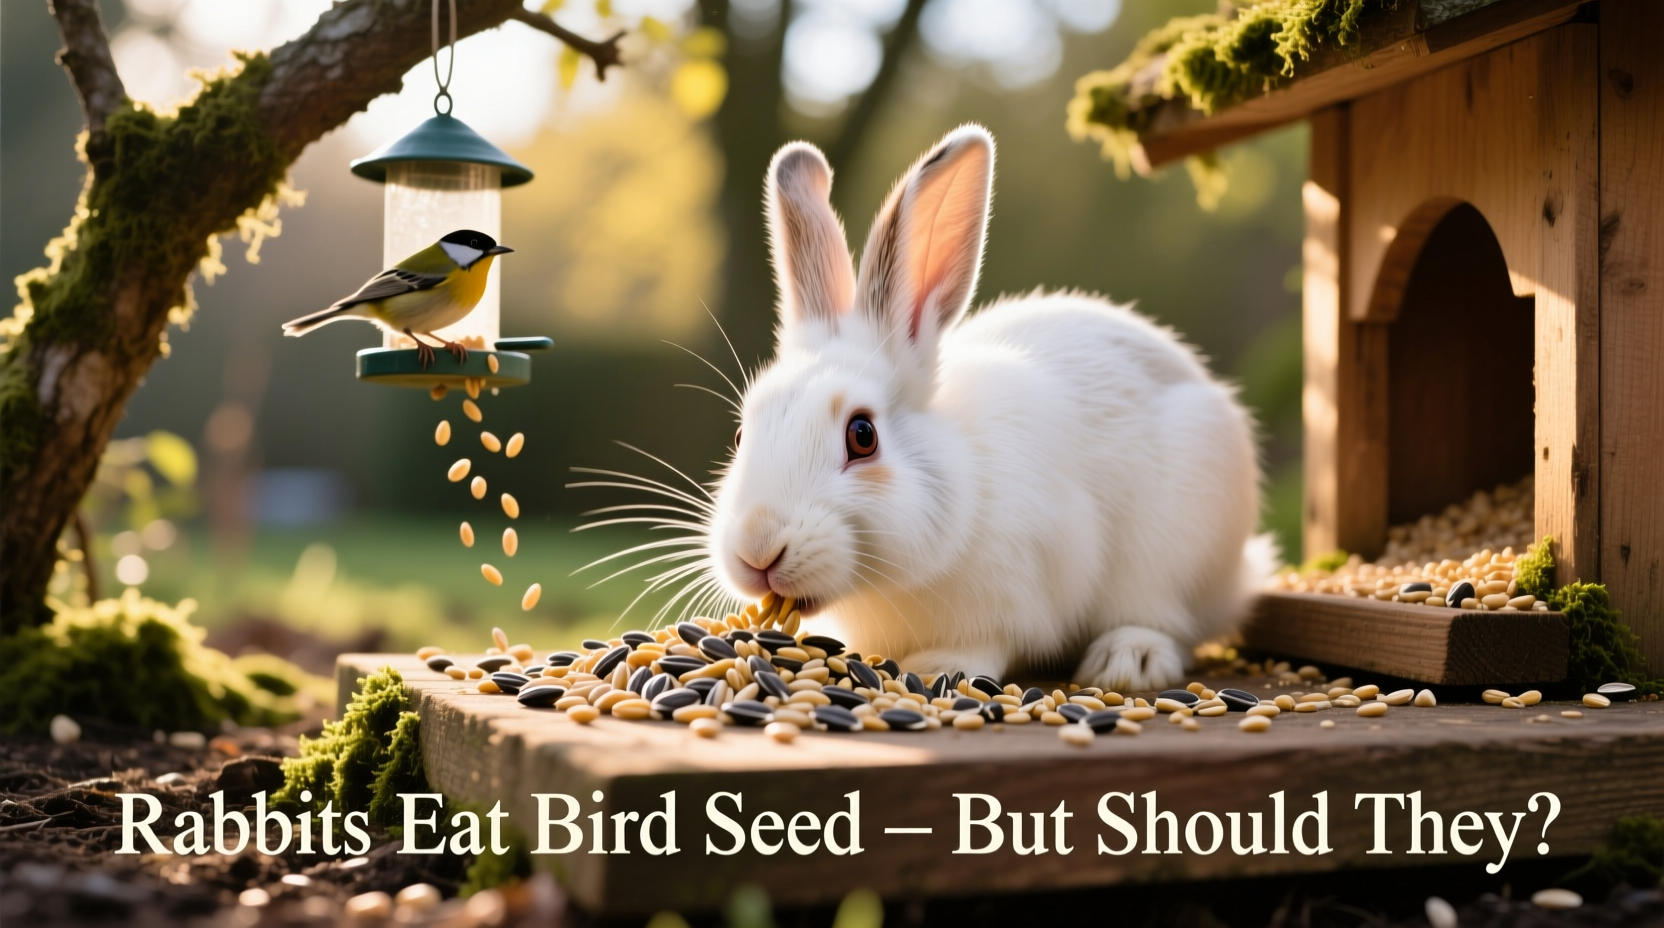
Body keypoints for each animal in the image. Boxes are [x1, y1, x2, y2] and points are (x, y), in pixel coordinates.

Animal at [706, 124, 1275, 692]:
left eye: (862, 435)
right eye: (738, 437)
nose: (758, 548)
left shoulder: (1024, 589)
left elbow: (992, 643)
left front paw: (937, 667)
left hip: (1178, 554)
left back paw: (1128, 660)